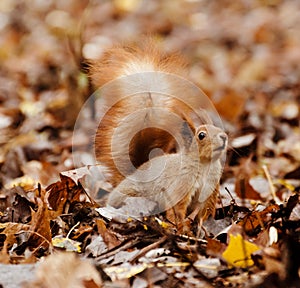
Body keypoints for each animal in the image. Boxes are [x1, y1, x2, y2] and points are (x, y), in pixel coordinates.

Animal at [89, 40, 227, 230]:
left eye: (219, 128)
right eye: (201, 135)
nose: (224, 137)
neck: (205, 166)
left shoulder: (210, 191)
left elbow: (205, 211)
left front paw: (202, 226)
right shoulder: (180, 186)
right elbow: (177, 210)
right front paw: (182, 228)